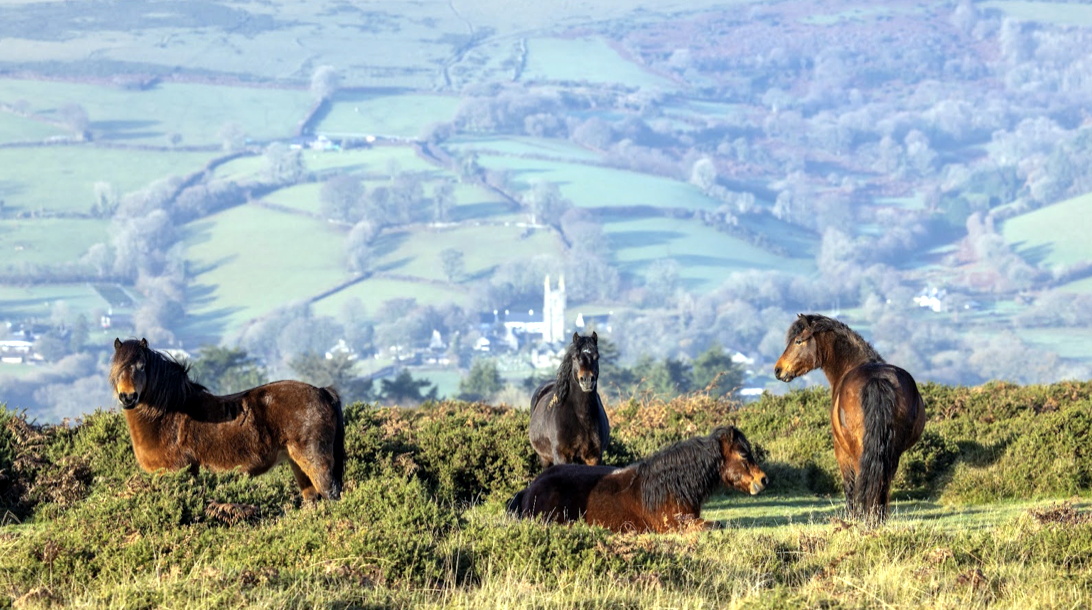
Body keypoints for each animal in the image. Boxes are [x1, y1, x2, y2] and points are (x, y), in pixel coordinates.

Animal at [109, 338, 345, 501]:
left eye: (142, 366)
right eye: (116, 368)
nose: (128, 397)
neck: (169, 415)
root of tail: (322, 392)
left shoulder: (177, 472)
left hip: (314, 459)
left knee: (331, 494)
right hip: (296, 463)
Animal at [528, 331, 610, 467]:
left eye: (596, 357)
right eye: (575, 357)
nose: (587, 380)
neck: (582, 417)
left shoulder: (594, 457)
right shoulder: (562, 456)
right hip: (544, 459)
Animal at [774, 314, 926, 523]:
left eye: (798, 341)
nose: (778, 370)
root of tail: (877, 379)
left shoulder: (841, 450)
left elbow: (849, 485)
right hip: (892, 450)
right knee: (883, 481)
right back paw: (877, 517)